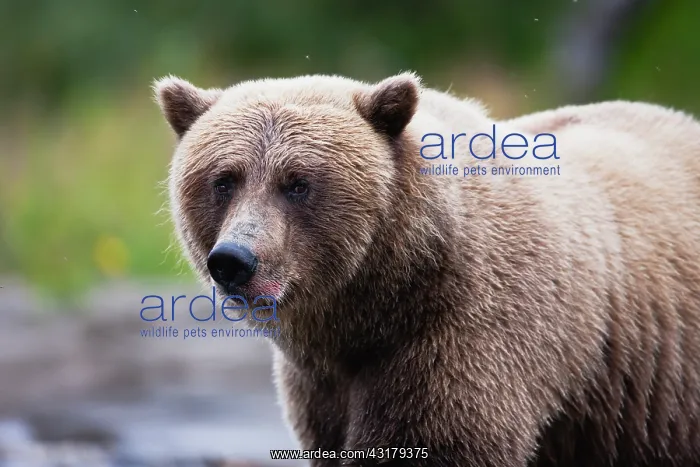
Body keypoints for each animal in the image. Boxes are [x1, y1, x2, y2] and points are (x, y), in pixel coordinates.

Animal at [154, 72, 700, 467]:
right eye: (225, 179)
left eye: (297, 182)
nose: (234, 260)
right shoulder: (321, 386)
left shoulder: (469, 337)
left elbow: (432, 441)